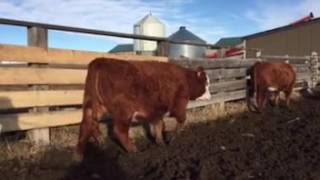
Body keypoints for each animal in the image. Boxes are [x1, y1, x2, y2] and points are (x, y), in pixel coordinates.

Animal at [77, 58, 211, 155]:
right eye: (206, 83)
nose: (210, 96)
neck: (185, 79)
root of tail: (100, 61)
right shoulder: (179, 105)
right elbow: (181, 121)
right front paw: (173, 139)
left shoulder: (157, 110)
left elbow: (158, 125)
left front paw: (160, 142)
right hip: (123, 112)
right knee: (119, 131)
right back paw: (134, 150)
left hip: (94, 105)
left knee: (89, 124)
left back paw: (87, 151)